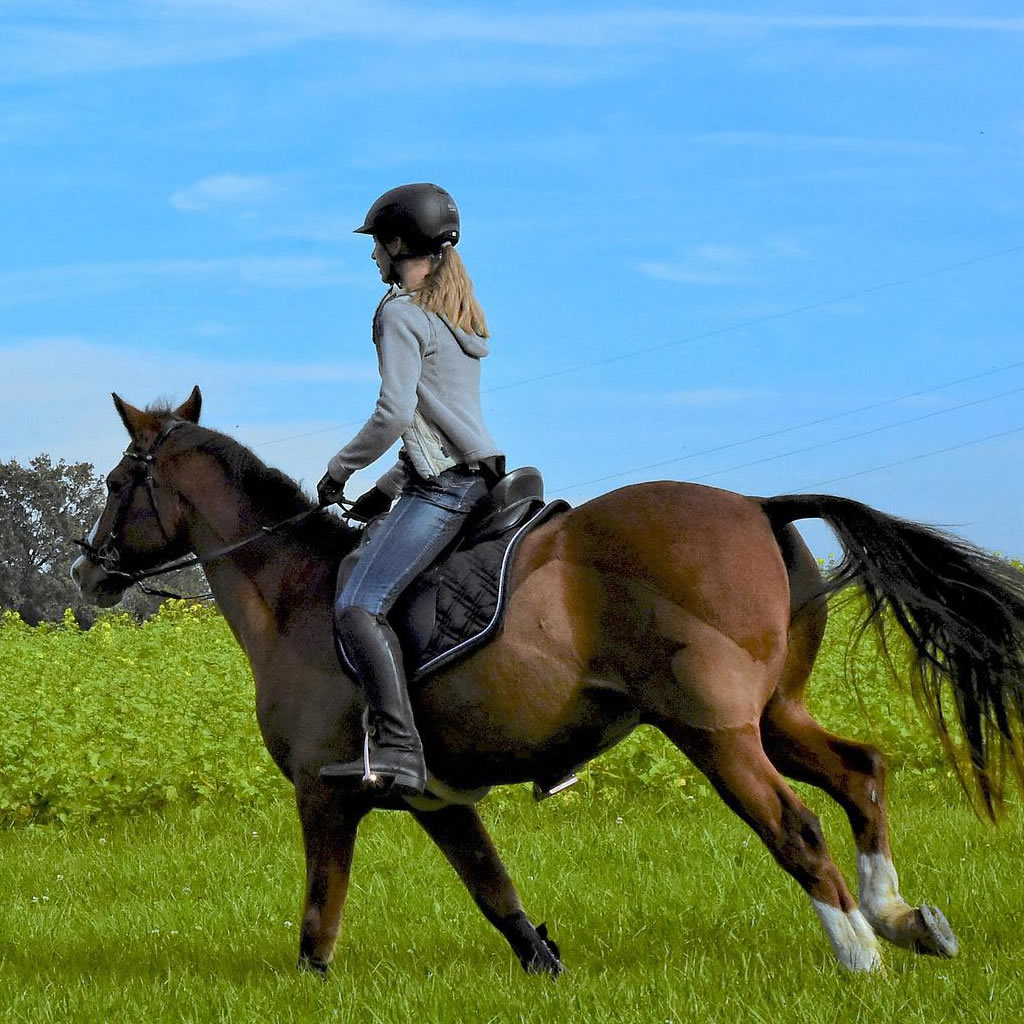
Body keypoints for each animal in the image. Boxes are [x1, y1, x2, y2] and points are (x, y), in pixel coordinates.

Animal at [72, 389, 1024, 974]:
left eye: (118, 481)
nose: (87, 570)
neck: (295, 594)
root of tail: (759, 506)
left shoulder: (324, 793)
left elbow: (318, 919)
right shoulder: (438, 800)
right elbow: (498, 896)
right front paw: (545, 966)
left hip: (715, 732)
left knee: (796, 827)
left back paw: (861, 954)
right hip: (775, 716)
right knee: (862, 774)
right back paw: (904, 919)